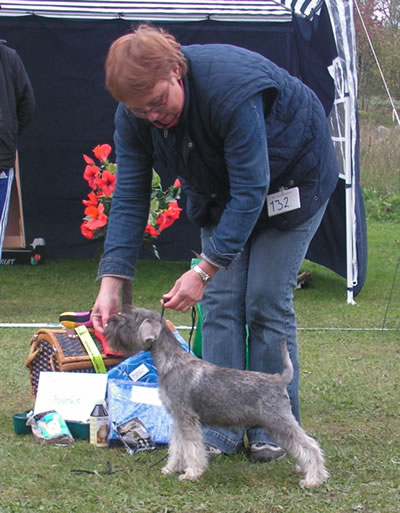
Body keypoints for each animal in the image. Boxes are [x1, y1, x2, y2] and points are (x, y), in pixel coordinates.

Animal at [105, 306, 328, 486]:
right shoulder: (178, 419)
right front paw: (171, 468)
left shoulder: (188, 419)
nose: (108, 322)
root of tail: (279, 379)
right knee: (300, 446)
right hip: (276, 425)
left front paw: (192, 473)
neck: (172, 363)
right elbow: (177, 447)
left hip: (279, 420)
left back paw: (313, 479)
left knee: (311, 446)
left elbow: (192, 448)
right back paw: (304, 469)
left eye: (129, 319)